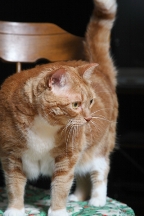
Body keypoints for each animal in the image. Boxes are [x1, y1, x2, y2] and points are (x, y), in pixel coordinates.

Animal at [0, 0, 118, 216]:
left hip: (97, 148)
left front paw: (57, 211)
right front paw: (15, 210)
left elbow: (61, 185)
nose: (88, 118)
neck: (44, 125)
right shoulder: (11, 156)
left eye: (91, 102)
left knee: (100, 172)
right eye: (76, 104)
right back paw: (78, 198)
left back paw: (97, 201)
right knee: (82, 175)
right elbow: (14, 185)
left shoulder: (67, 156)